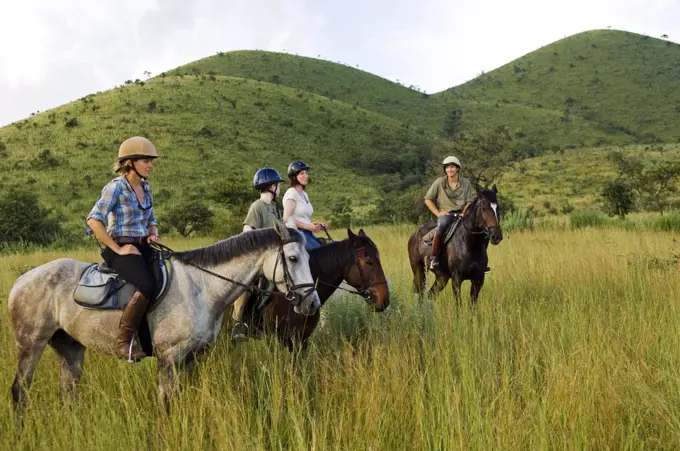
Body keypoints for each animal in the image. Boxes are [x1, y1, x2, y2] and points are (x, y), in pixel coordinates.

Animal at [7, 221, 322, 412]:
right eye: (293, 258)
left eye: (309, 257)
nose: (312, 303)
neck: (202, 287)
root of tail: (22, 281)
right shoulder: (168, 358)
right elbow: (166, 404)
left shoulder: (193, 357)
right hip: (30, 346)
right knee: (19, 392)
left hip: (70, 347)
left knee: (67, 392)